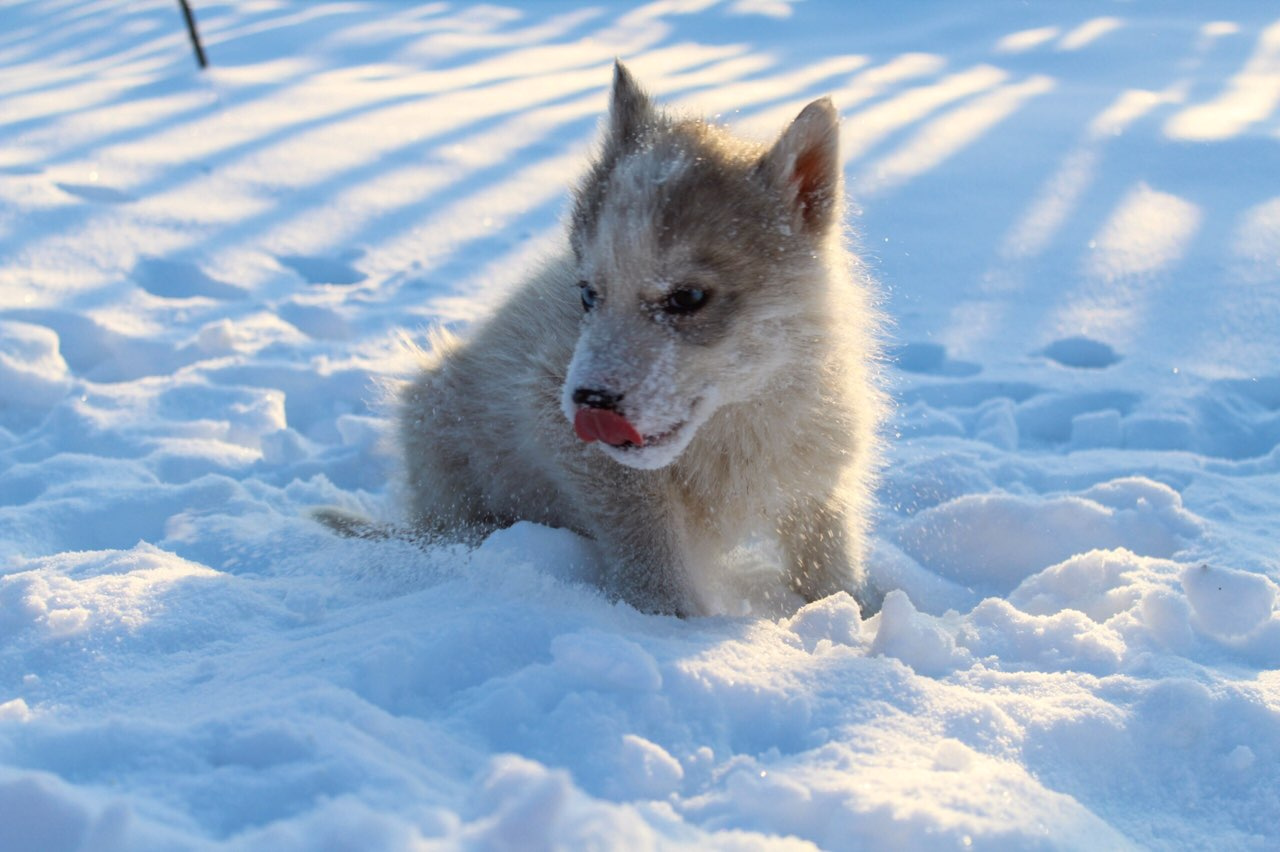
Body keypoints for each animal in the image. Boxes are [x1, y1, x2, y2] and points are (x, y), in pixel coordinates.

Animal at [332, 63, 890, 614]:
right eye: (587, 293)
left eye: (688, 297)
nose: (590, 402)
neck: (736, 420)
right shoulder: (554, 404)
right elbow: (644, 528)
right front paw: (673, 621)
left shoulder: (820, 463)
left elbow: (828, 555)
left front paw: (855, 613)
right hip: (433, 413)